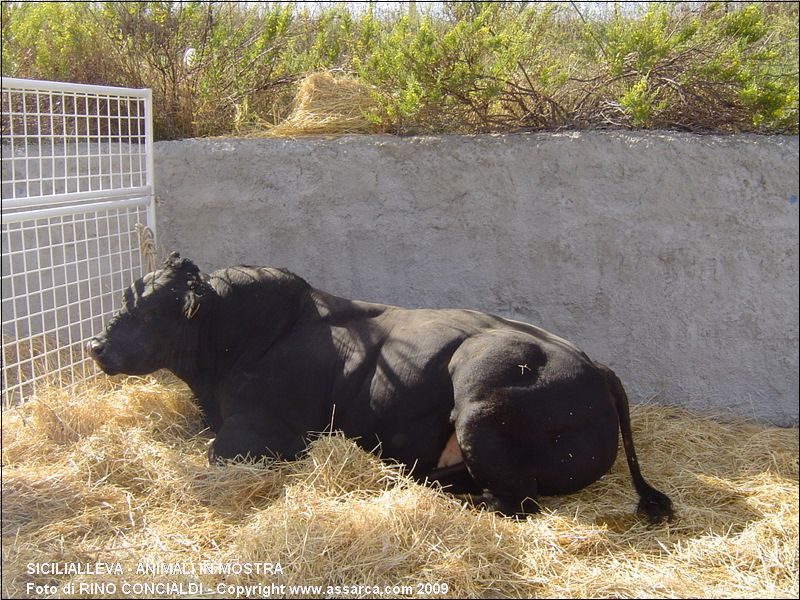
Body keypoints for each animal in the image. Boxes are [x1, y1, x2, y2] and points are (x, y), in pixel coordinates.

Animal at [90, 252, 672, 520]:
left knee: (514, 499)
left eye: (153, 312)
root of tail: (594, 365)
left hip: (480, 395)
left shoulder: (263, 433)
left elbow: (214, 455)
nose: (96, 346)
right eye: (126, 300)